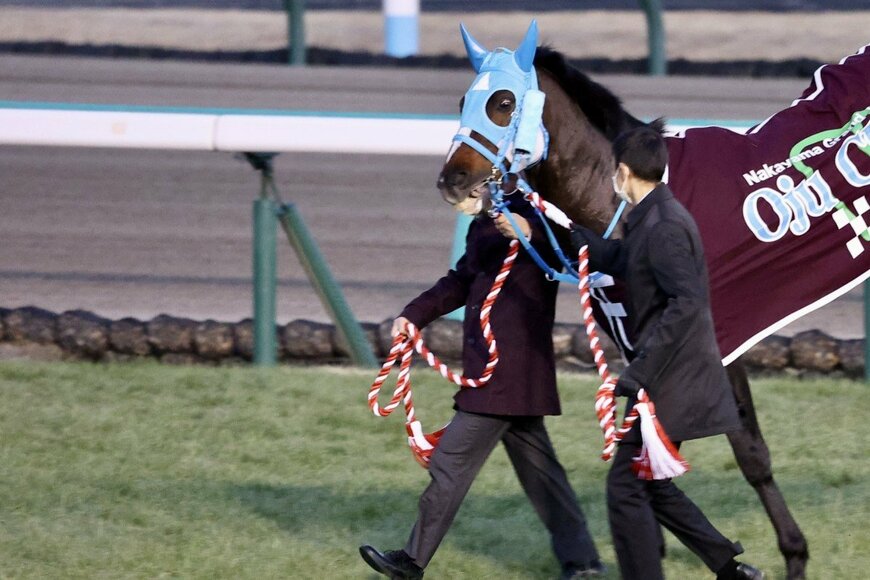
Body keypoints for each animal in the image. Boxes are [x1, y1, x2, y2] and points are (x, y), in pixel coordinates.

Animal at [440, 24, 816, 576]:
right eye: (464, 99)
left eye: (503, 102)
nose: (452, 180)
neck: (620, 202)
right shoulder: (635, 338)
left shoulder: (715, 342)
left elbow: (749, 450)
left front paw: (793, 554)